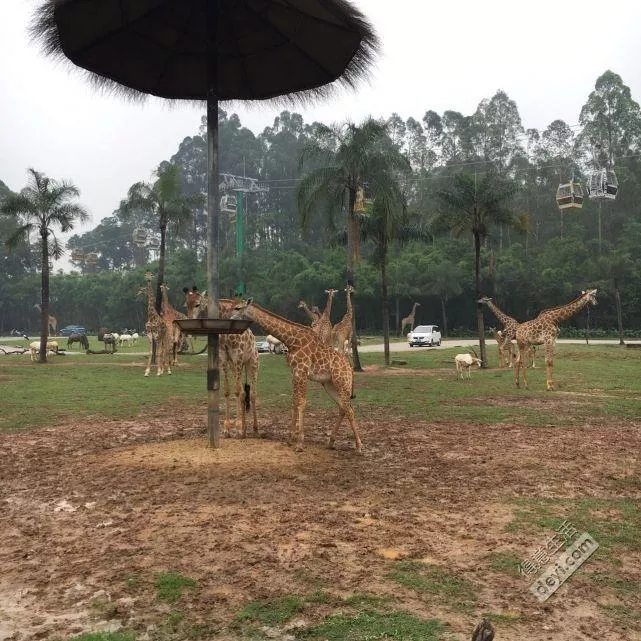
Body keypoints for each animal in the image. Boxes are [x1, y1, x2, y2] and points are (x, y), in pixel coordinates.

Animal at [230, 298, 360, 452]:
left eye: (238, 308)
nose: (229, 318)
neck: (291, 341)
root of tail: (350, 367)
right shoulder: (294, 372)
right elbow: (294, 401)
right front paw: (291, 439)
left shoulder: (302, 371)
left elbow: (301, 402)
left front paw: (299, 443)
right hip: (329, 384)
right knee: (343, 407)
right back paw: (331, 442)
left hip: (342, 382)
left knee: (349, 409)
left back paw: (359, 446)